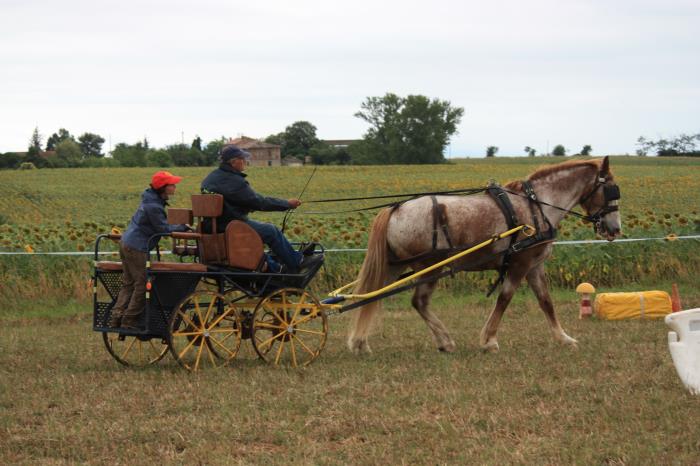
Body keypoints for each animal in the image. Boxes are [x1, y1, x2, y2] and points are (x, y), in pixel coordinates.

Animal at [350, 157, 624, 354]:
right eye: (611, 189)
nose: (615, 228)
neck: (537, 207)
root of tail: (395, 208)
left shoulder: (534, 266)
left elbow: (546, 301)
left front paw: (563, 338)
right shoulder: (520, 263)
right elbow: (504, 299)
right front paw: (489, 340)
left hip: (394, 266)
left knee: (371, 296)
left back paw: (360, 342)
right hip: (432, 266)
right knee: (419, 302)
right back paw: (445, 341)